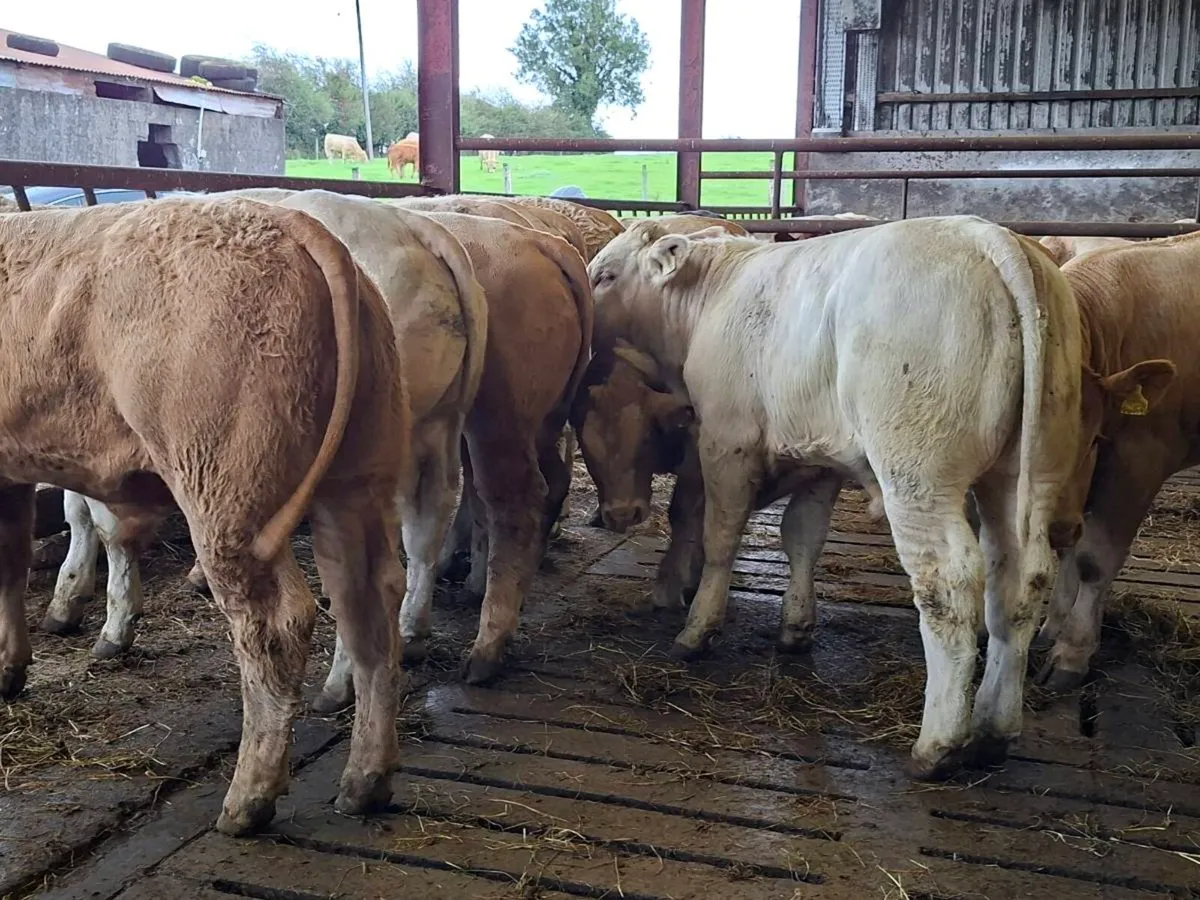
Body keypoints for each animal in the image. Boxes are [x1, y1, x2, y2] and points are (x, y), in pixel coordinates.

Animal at [0, 197, 410, 836]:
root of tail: (291, 224)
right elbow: (11, 560)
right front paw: (9, 668)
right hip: (356, 481)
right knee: (369, 608)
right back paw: (364, 782)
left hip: (223, 486)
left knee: (275, 623)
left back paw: (248, 800)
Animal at [45, 190, 488, 713]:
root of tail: (415, 227)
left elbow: (91, 518)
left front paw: (88, 611)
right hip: (437, 423)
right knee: (428, 521)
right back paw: (412, 633)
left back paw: (337, 683)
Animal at [582, 216, 1085, 780]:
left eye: (605, 275)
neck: (713, 294)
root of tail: (989, 237)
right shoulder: (818, 459)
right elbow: (802, 537)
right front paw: (796, 627)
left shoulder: (726, 442)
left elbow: (721, 537)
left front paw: (698, 629)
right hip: (1027, 473)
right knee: (1022, 581)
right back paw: (995, 730)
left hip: (918, 478)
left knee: (950, 583)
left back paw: (938, 743)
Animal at [1032, 234, 1191, 691]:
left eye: (1091, 440)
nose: (1056, 527)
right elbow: (1073, 552)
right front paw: (1050, 630)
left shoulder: (1138, 460)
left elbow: (1093, 560)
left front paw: (1071, 654)